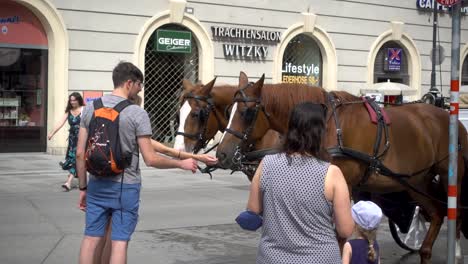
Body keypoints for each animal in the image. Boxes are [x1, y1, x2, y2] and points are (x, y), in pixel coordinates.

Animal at [217, 71, 468, 262]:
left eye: (247, 112)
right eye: (229, 112)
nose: (222, 154)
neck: (326, 126)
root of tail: (451, 117)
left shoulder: (343, 185)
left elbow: (339, 234)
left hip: (446, 176)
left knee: (453, 210)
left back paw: (455, 252)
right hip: (416, 182)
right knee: (437, 213)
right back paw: (426, 251)